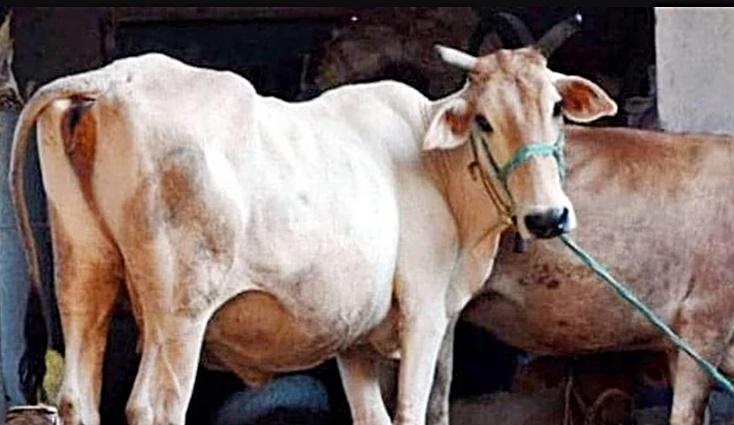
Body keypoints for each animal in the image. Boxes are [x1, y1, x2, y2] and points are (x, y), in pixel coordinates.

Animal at [8, 23, 616, 425]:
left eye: (556, 108)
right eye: (484, 121)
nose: (548, 217)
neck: (435, 165)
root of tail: (113, 79)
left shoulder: (356, 340)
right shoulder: (424, 312)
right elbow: (413, 411)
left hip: (83, 275)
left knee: (77, 398)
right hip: (179, 311)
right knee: (153, 406)